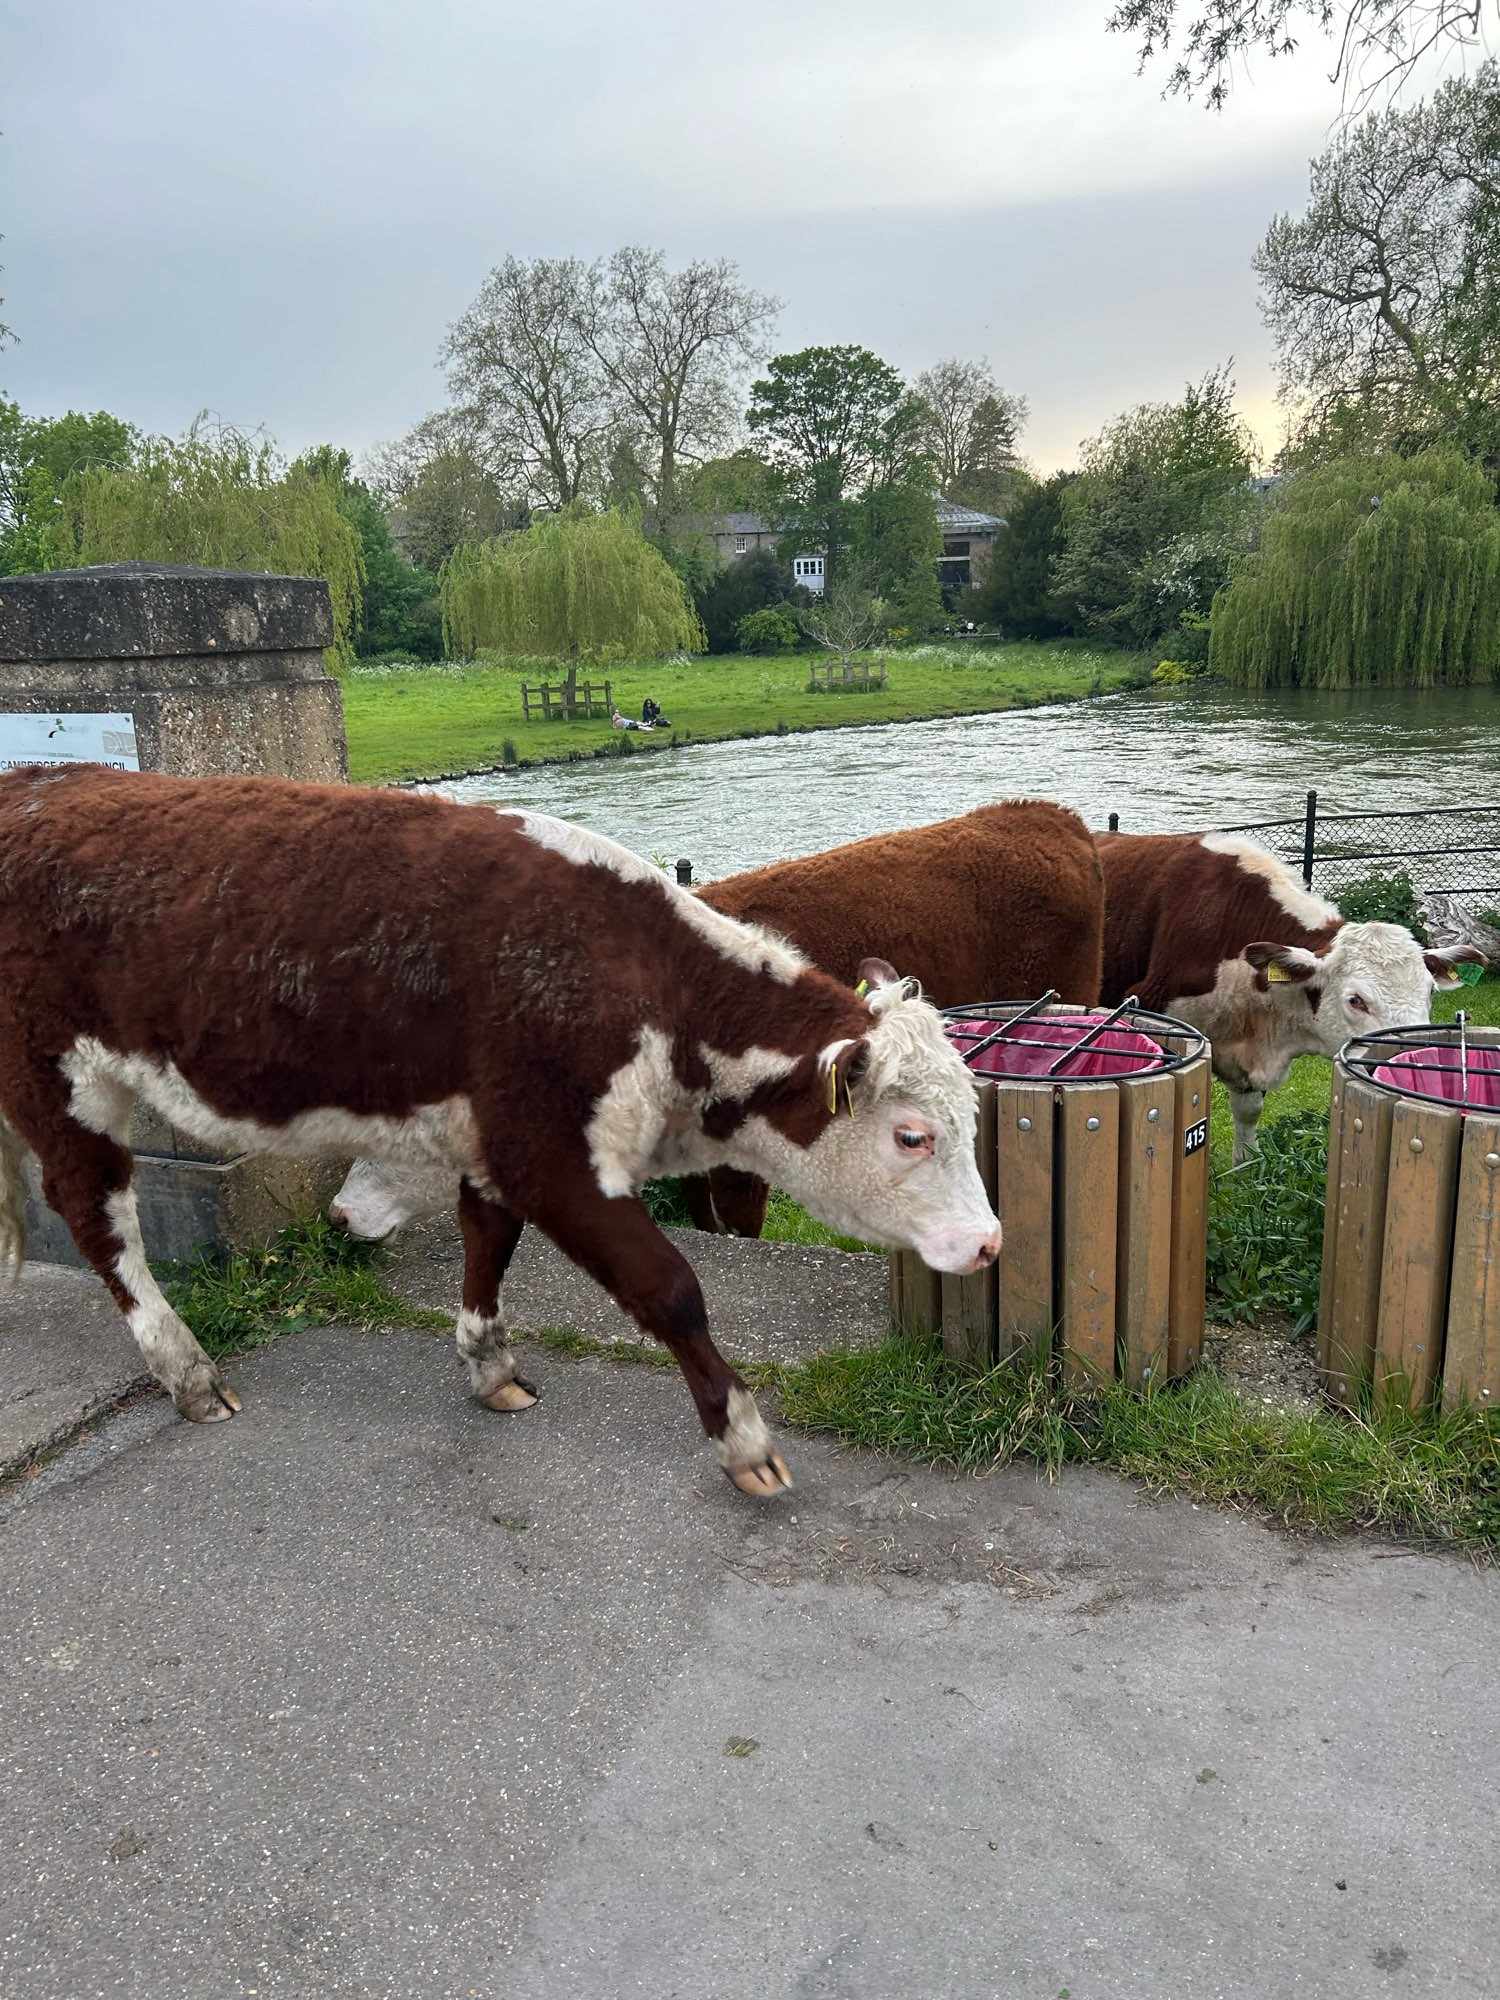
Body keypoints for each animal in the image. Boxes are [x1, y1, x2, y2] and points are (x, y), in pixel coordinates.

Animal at [2, 768, 1012, 1504]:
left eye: (971, 1115)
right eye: (913, 1136)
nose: (988, 1243)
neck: (642, 983)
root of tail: (37, 778)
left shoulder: (499, 1144)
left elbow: (486, 1243)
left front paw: (489, 1366)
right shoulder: (551, 1154)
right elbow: (671, 1288)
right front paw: (744, 1441)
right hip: (62, 1078)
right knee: (97, 1217)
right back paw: (187, 1371)